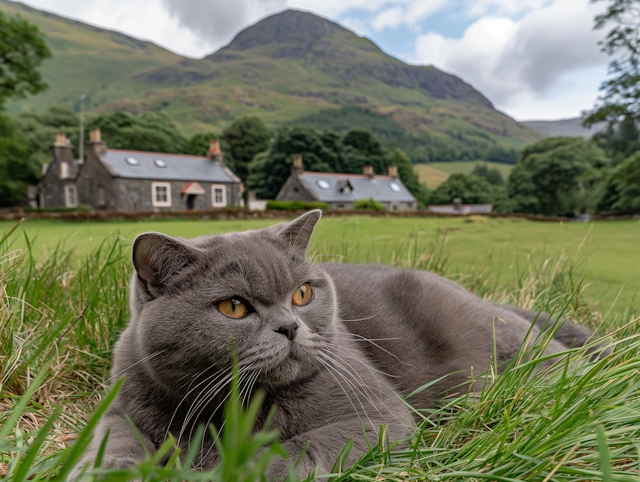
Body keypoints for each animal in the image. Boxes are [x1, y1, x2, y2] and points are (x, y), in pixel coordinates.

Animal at [71, 211, 600, 482]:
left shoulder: (376, 414)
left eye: (302, 294)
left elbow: (291, 449)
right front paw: (107, 472)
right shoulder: (123, 401)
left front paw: (229, 469)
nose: (289, 328)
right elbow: (112, 441)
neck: (233, 407)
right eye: (234, 307)